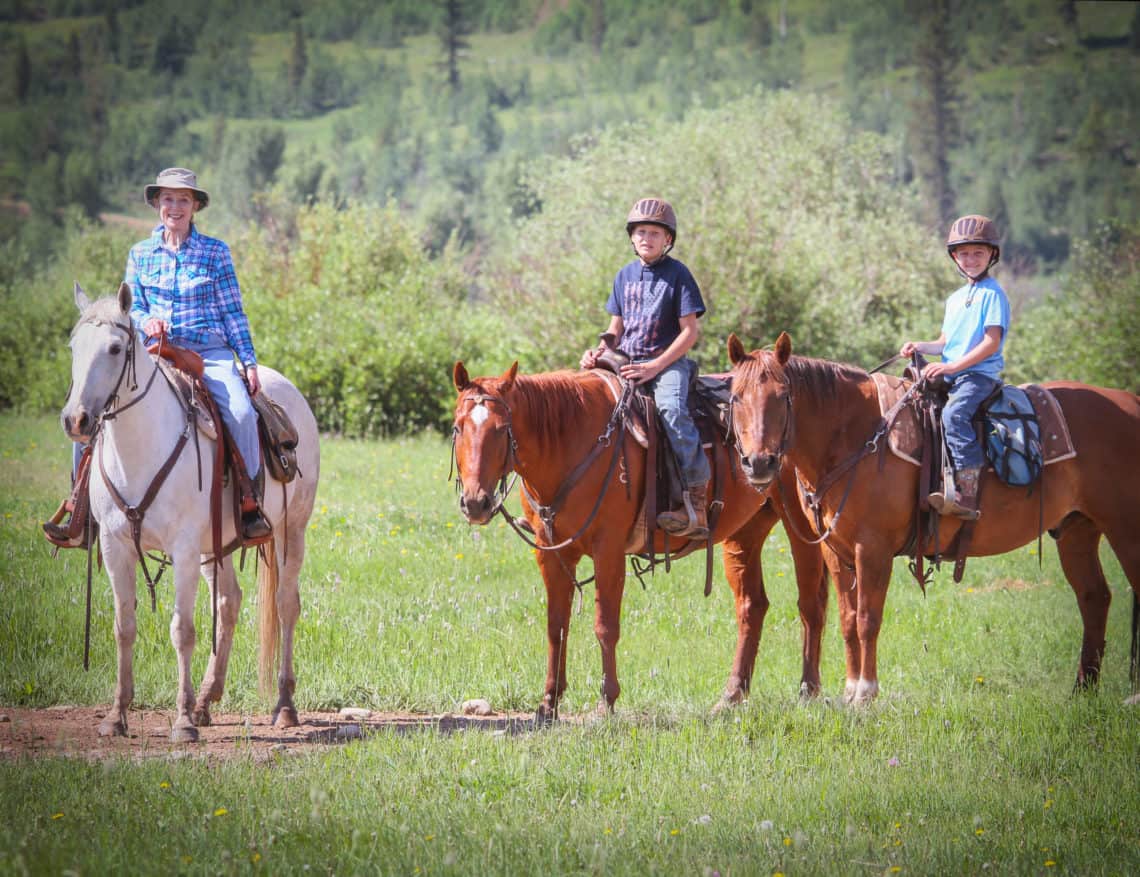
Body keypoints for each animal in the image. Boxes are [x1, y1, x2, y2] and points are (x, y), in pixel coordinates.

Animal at [62, 282, 321, 739]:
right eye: (74, 346)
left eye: (115, 348)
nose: (76, 419)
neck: (141, 448)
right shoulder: (114, 545)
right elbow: (123, 627)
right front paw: (117, 715)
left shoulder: (182, 548)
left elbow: (182, 630)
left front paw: (181, 722)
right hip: (214, 546)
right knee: (229, 602)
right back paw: (205, 699)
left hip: (291, 531)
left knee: (286, 604)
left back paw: (284, 706)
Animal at [451, 358, 839, 720]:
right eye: (458, 428)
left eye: (502, 429)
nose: (476, 502)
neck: (573, 442)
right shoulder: (551, 553)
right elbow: (555, 625)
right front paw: (549, 702)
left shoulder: (608, 551)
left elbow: (605, 625)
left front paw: (606, 700)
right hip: (745, 532)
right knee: (752, 605)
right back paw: (731, 695)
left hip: (801, 527)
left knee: (810, 604)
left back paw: (808, 691)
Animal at [725, 330, 1140, 702]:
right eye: (736, 397)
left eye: (783, 396)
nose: (759, 463)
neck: (856, 436)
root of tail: (1130, 402)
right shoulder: (836, 551)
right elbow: (846, 619)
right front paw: (849, 691)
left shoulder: (872, 549)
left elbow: (867, 620)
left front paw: (865, 695)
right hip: (1078, 531)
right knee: (1094, 597)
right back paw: (1082, 691)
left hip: (1125, 527)